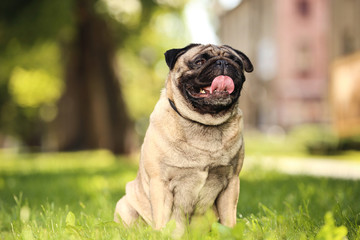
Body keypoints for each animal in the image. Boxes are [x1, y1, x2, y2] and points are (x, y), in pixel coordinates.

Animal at [114, 43, 252, 236]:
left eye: (236, 62)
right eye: (199, 61)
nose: (223, 62)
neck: (204, 123)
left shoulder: (231, 183)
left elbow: (229, 219)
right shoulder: (161, 183)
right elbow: (163, 220)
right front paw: (163, 235)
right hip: (124, 206)